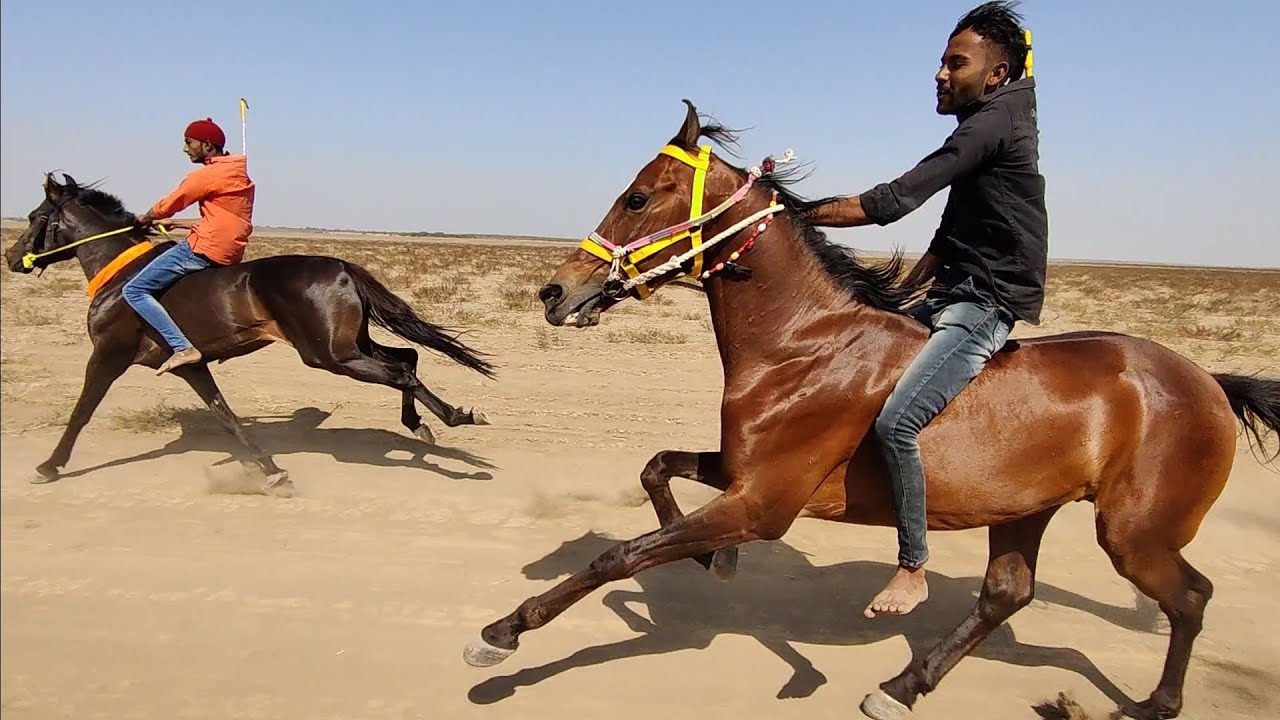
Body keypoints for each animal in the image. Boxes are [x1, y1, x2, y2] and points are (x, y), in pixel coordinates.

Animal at [3, 173, 496, 493]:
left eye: (34, 216)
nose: (10, 258)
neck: (121, 277)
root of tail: (341, 266)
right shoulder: (191, 366)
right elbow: (227, 416)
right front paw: (272, 472)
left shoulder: (108, 354)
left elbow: (81, 412)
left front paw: (49, 466)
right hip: (349, 344)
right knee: (407, 358)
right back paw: (435, 423)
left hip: (328, 355)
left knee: (400, 372)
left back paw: (447, 430)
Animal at [463, 101, 1280, 720]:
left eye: (637, 196)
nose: (555, 293)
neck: (802, 343)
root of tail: (1207, 381)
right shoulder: (746, 474)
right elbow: (656, 468)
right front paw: (708, 557)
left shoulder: (764, 503)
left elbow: (620, 555)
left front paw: (501, 633)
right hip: (1025, 509)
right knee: (1007, 594)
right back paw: (902, 685)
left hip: (1134, 534)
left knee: (1191, 597)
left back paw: (1152, 704)